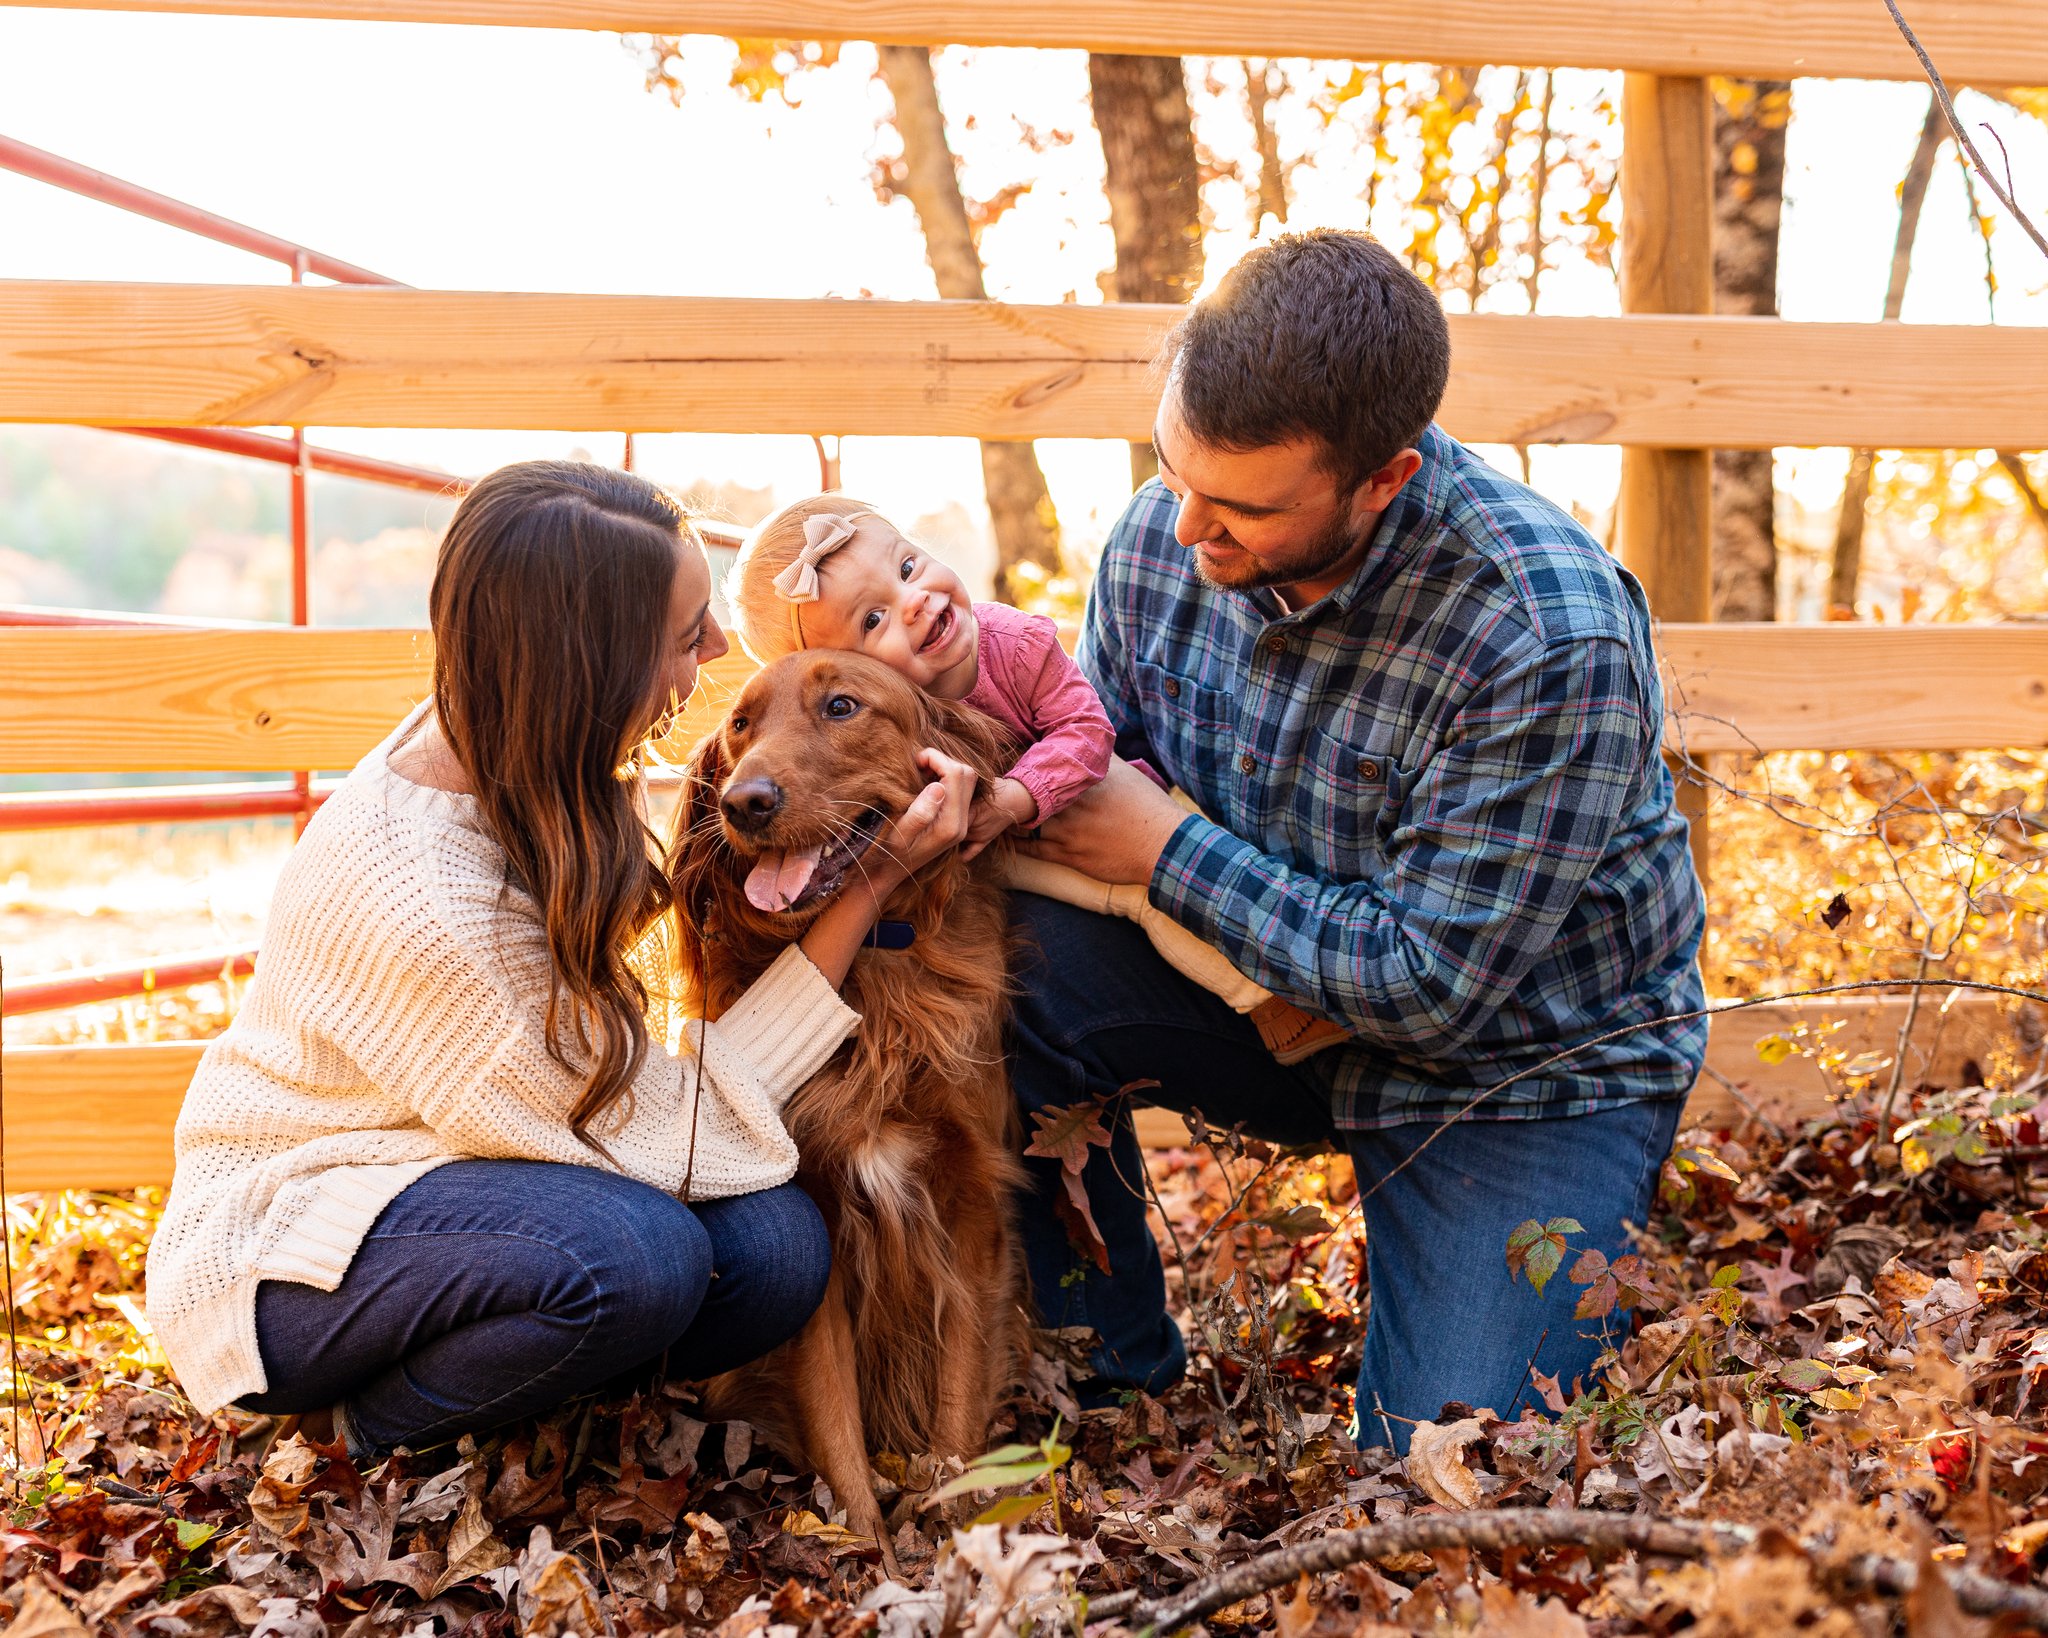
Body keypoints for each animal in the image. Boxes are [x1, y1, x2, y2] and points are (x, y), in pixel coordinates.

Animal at [667, 651, 1024, 1564]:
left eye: (841, 707)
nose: (744, 803)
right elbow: (835, 1417)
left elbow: (958, 1397)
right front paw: (867, 1554)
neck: (870, 968)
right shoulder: (818, 1213)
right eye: (741, 726)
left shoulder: (969, 1206)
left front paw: (959, 1537)